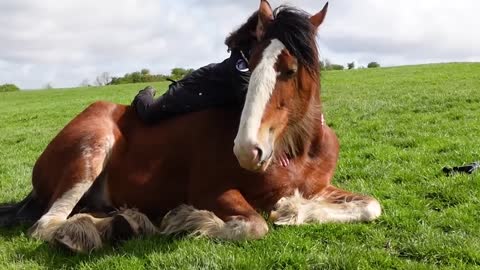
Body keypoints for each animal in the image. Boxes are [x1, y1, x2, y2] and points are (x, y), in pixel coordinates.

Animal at [0, 0, 382, 253]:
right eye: (249, 63)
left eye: (289, 70)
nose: (247, 149)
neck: (298, 150)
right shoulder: (211, 191)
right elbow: (254, 226)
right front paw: (189, 220)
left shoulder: (322, 187)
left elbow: (370, 205)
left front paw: (292, 208)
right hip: (91, 149)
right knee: (46, 225)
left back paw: (124, 223)